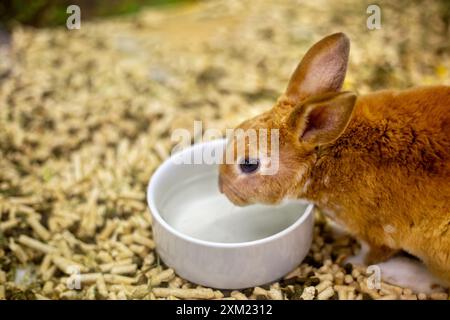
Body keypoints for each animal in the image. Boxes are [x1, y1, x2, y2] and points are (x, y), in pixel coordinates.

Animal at [219, 32, 450, 286]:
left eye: (249, 164)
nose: (221, 188)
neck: (321, 158)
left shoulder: (375, 232)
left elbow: (371, 253)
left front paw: (353, 260)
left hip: (439, 246)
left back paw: (397, 272)